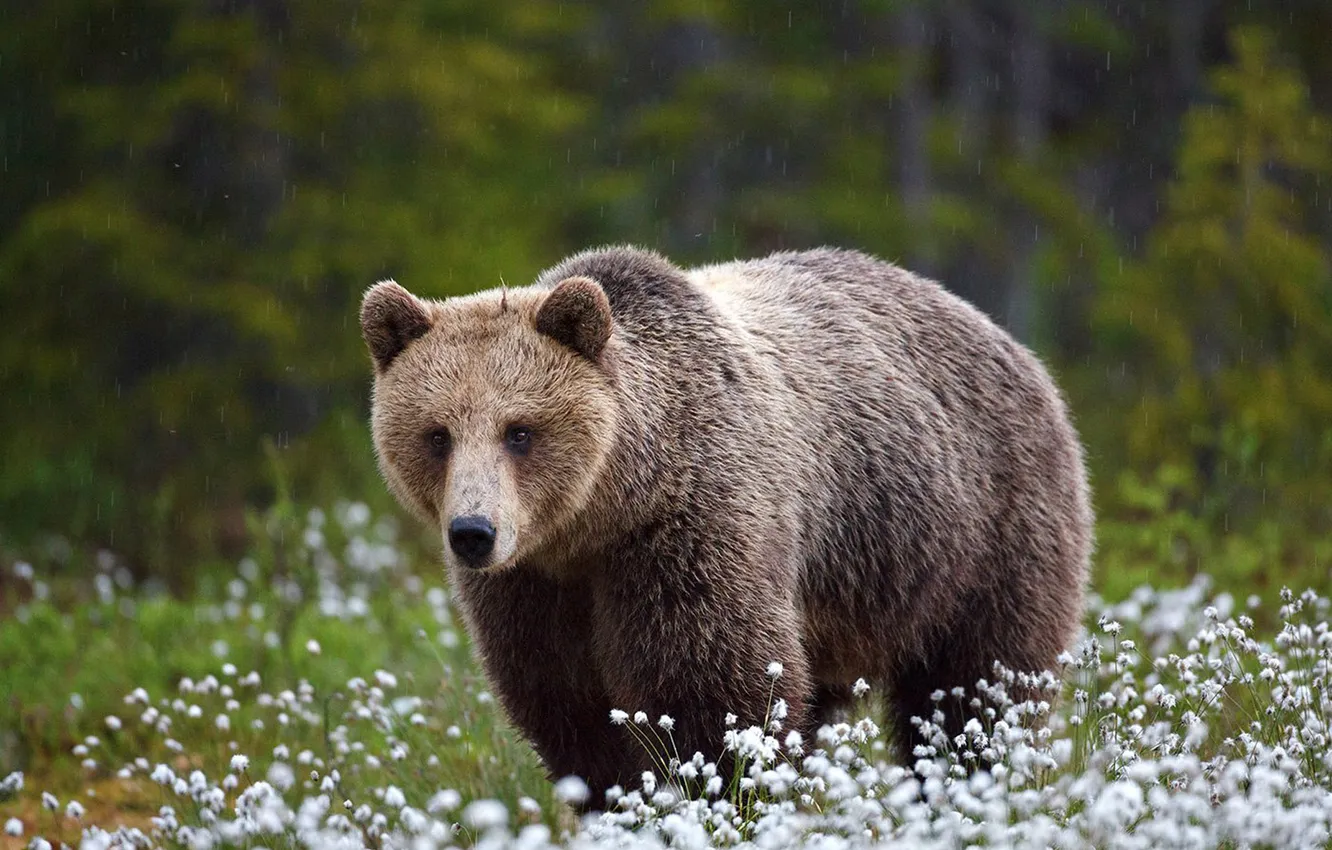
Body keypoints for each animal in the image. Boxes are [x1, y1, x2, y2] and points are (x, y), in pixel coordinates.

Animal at [360, 246, 1091, 807]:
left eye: (519, 430)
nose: (473, 532)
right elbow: (569, 709)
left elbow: (719, 696)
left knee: (978, 688)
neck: (601, 518)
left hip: (979, 531)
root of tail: (1007, 340)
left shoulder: (691, 529)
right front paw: (621, 802)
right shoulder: (533, 587)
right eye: (437, 434)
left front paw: (725, 798)